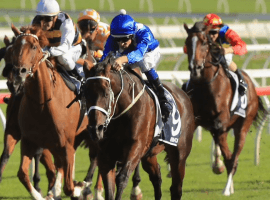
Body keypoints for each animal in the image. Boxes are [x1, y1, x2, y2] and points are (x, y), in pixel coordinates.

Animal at [9, 24, 93, 198]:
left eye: (34, 46)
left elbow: (69, 186)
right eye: (14, 48)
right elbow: (22, 174)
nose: (19, 73)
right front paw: (41, 195)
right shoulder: (29, 141)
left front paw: (77, 188)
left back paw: (86, 184)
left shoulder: (66, 144)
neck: (42, 103)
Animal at [83, 54, 195, 200]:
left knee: (176, 188)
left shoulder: (135, 146)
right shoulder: (105, 155)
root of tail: (184, 95)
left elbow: (122, 178)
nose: (95, 129)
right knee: (156, 176)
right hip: (149, 155)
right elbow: (109, 187)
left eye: (106, 94)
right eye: (85, 94)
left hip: (179, 153)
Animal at [184, 21, 268, 195]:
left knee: (233, 158)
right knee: (228, 153)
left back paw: (227, 187)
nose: (195, 68)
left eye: (204, 43)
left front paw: (218, 165)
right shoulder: (197, 119)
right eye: (187, 43)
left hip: (243, 126)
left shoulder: (221, 120)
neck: (205, 84)